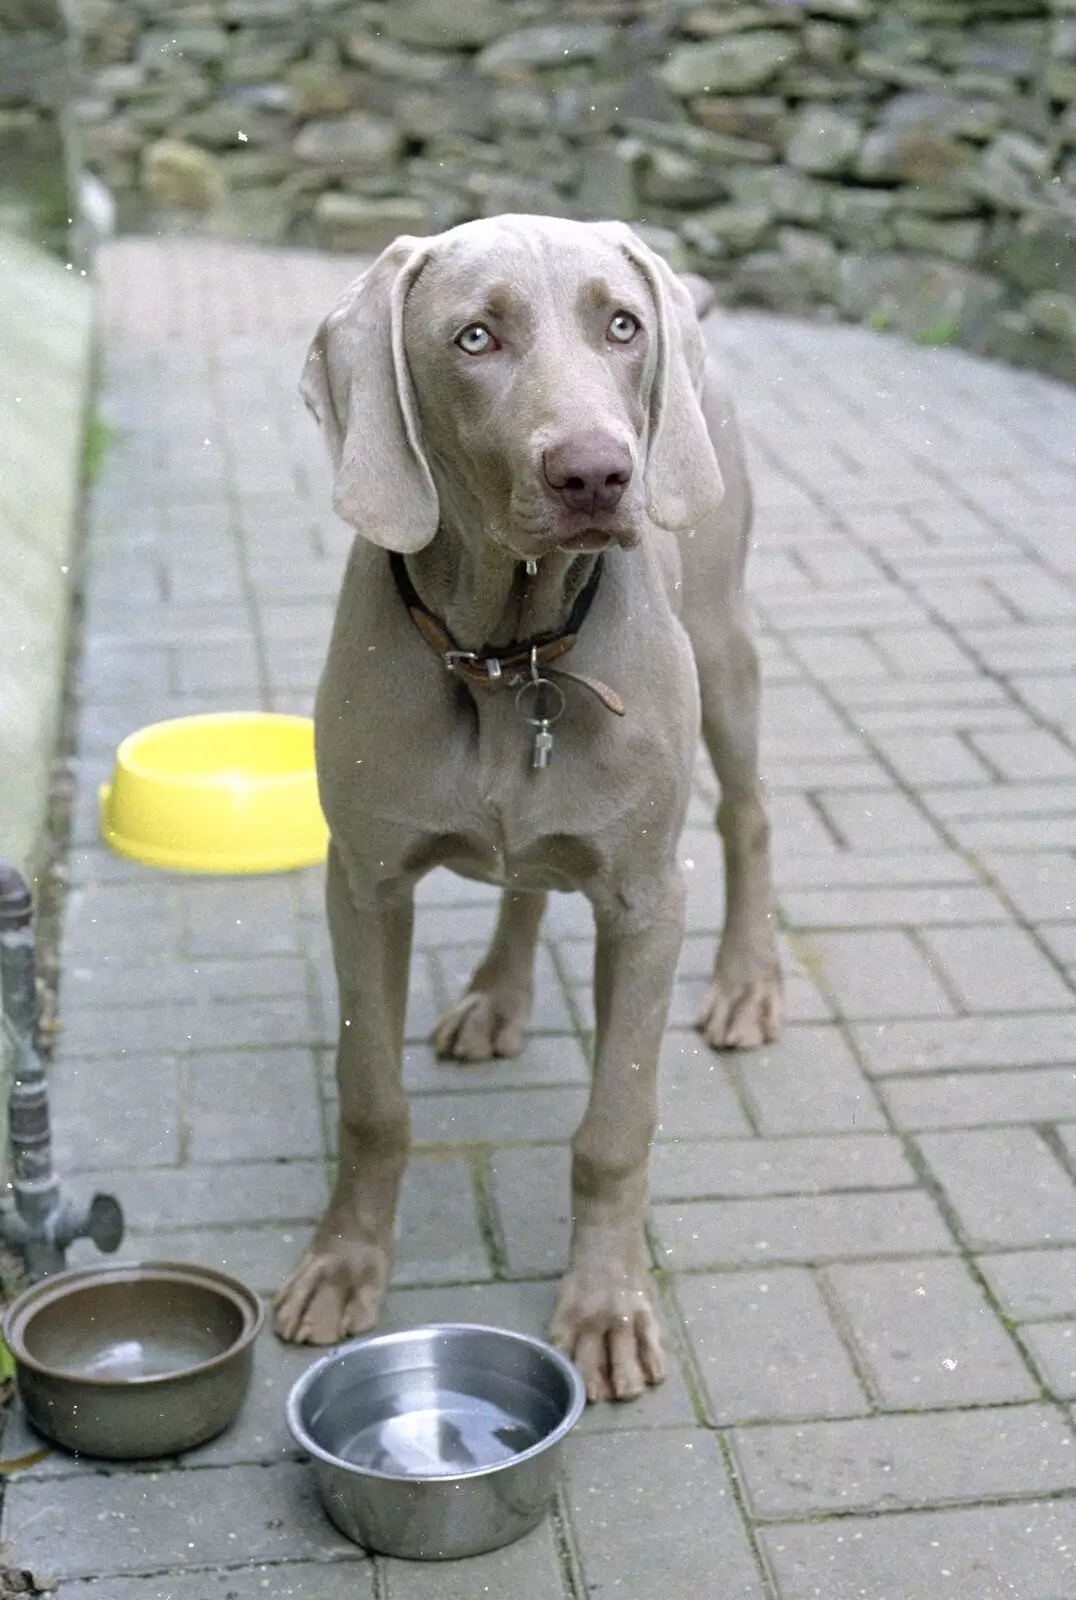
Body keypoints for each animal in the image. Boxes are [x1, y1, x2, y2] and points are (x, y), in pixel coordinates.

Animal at [275, 216, 781, 1401]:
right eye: (475, 337)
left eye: (620, 326)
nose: (598, 471)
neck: (513, 659)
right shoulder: (362, 882)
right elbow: (370, 1098)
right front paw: (343, 1264)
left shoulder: (647, 901)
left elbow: (615, 1125)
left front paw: (603, 1308)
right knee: (526, 882)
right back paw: (497, 995)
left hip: (724, 647)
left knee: (747, 817)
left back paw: (745, 983)